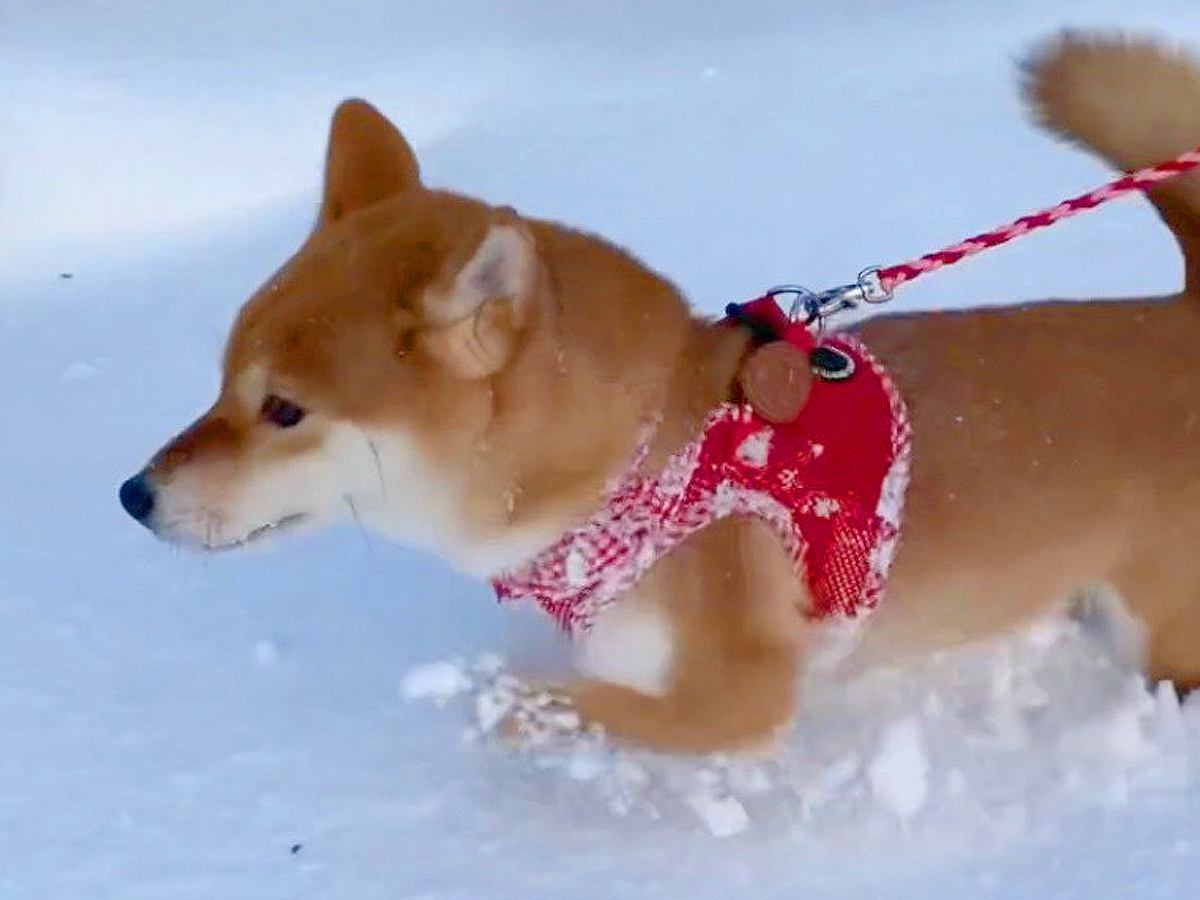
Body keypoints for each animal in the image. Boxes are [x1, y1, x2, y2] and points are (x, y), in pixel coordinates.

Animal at [119, 33, 1200, 753]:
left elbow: (588, 709)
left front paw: (501, 706)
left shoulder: (741, 694)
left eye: (285, 410)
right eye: (223, 382)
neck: (647, 462)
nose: (133, 495)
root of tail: (1183, 316)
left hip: (1163, 623)